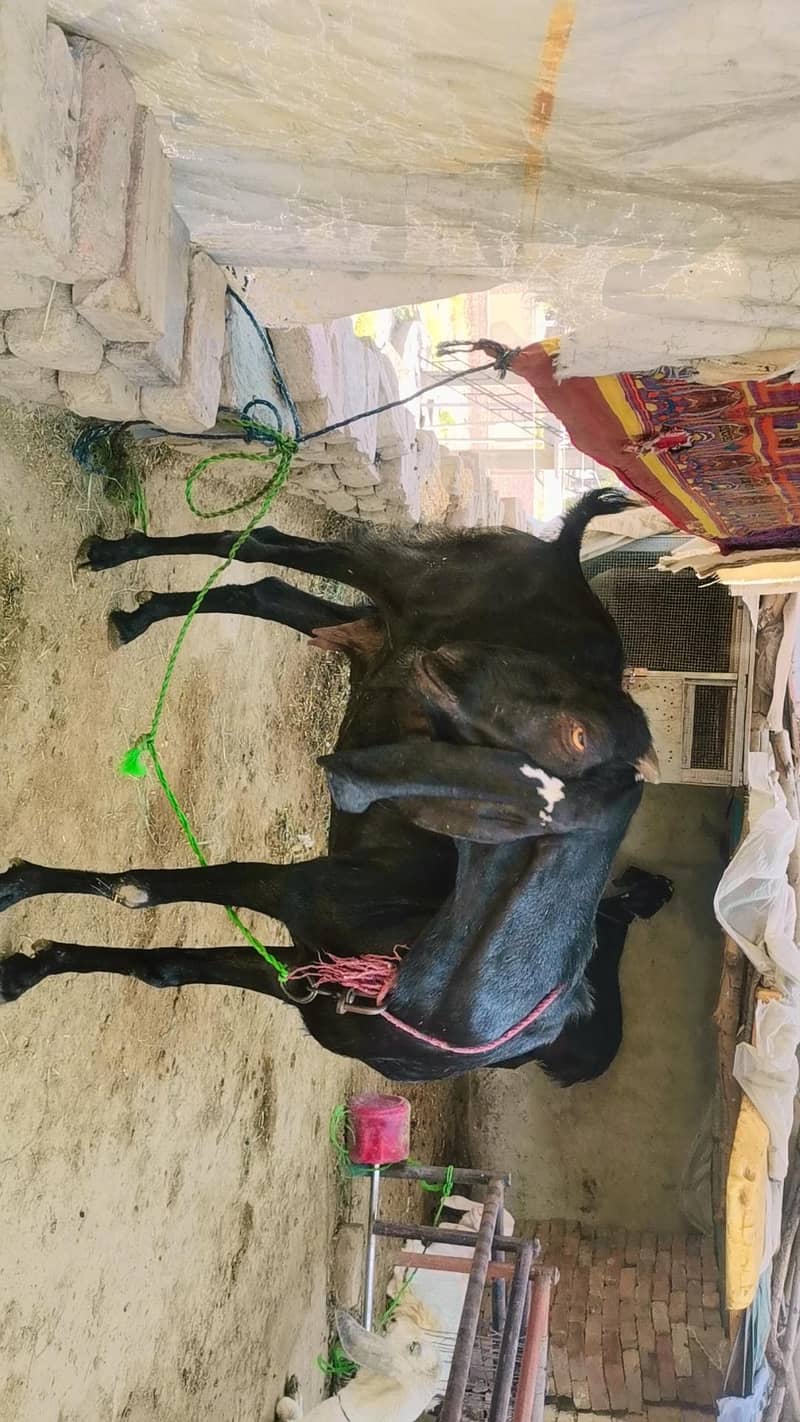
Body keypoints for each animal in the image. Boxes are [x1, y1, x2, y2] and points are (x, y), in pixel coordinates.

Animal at [0, 491, 662, 1082]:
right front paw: (16, 888)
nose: (452, 659)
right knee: (265, 544)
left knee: (266, 590)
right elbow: (139, 892)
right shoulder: (303, 889)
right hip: (405, 577)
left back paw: (138, 615)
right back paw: (117, 558)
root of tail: (566, 559)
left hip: (374, 633)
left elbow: (162, 961)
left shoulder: (301, 966)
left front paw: (30, 965)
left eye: (578, 736)